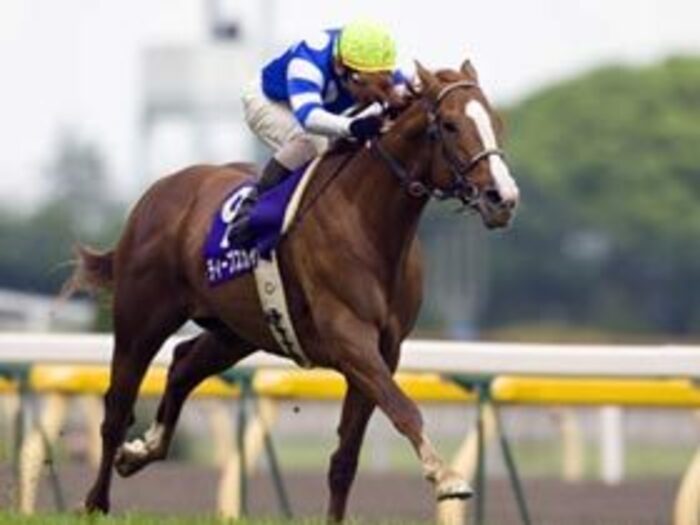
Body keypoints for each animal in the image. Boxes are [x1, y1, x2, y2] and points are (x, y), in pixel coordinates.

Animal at [66, 59, 519, 521]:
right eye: (449, 125)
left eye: (495, 122)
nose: (502, 197)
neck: (366, 220)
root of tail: (158, 192)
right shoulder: (350, 339)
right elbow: (404, 409)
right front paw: (447, 478)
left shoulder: (385, 350)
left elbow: (345, 460)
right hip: (141, 320)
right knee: (116, 408)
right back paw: (95, 501)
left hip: (237, 331)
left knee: (182, 364)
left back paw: (141, 451)